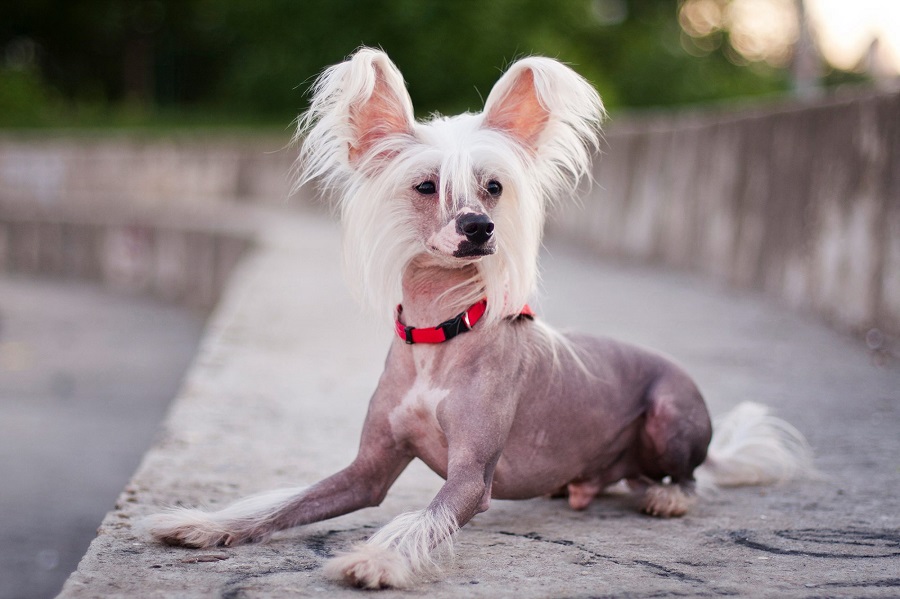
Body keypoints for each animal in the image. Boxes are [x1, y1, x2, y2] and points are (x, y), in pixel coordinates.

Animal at [148, 48, 816, 592]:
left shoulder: (471, 478)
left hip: (670, 416)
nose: (479, 226)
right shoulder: (366, 472)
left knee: (690, 479)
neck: (437, 334)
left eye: (493, 187)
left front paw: (376, 560)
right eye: (426, 186)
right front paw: (204, 524)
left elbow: (420, 518)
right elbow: (285, 502)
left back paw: (667, 499)